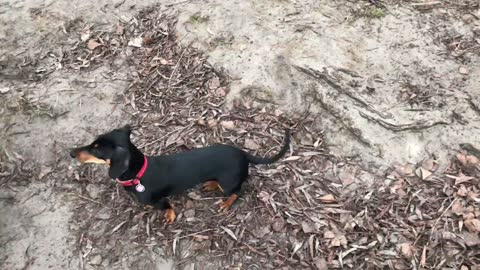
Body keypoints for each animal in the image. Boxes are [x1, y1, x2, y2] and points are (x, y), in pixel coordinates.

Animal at [70, 125, 290, 223]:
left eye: (97, 149)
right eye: (93, 143)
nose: (71, 153)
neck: (139, 174)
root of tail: (244, 154)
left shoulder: (160, 200)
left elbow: (167, 207)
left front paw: (169, 215)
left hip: (229, 184)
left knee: (238, 191)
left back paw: (226, 204)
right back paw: (210, 184)